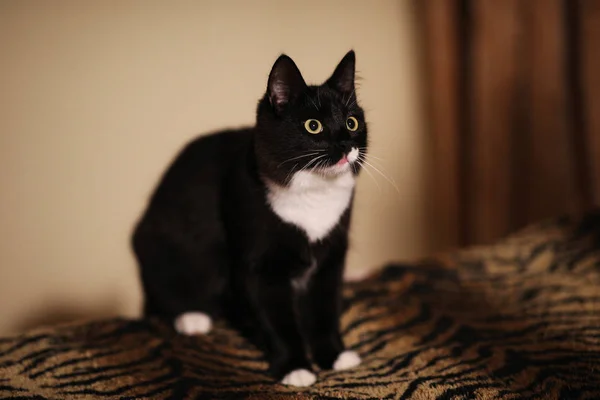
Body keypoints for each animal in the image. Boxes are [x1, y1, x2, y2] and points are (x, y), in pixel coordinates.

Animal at [132, 49, 368, 384]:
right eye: (313, 125)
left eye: (351, 122)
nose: (347, 145)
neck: (314, 197)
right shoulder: (258, 267)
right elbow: (278, 321)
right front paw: (296, 368)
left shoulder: (331, 259)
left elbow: (324, 310)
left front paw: (334, 355)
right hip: (162, 240)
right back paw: (193, 316)